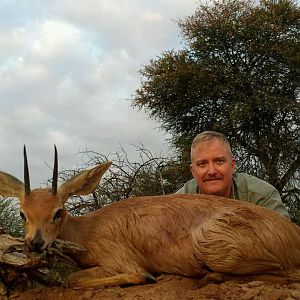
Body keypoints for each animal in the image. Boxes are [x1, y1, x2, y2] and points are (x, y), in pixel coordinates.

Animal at [0, 146, 300, 288]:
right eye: (22, 213)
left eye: (58, 212)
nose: (35, 243)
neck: (88, 229)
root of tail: (293, 233)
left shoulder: (121, 262)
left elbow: (74, 280)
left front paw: (150, 278)